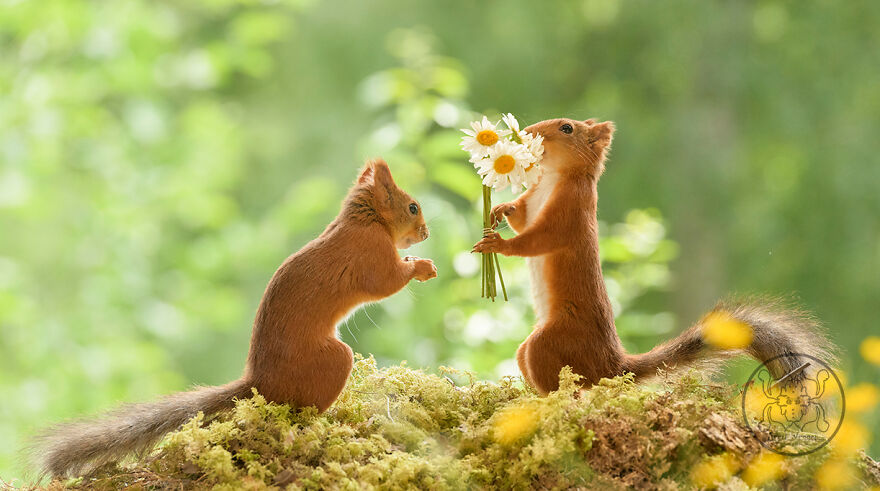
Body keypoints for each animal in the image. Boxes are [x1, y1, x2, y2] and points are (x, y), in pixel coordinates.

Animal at [32, 158, 438, 477]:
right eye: (413, 207)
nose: (426, 232)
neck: (365, 222)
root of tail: (260, 383)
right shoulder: (371, 255)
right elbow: (386, 282)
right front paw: (421, 267)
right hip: (334, 360)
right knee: (303, 411)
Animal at [473, 118, 836, 395]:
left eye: (566, 128)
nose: (527, 131)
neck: (551, 179)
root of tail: (612, 366)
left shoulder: (570, 213)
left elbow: (535, 240)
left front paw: (496, 244)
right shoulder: (533, 200)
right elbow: (521, 217)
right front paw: (498, 209)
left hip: (555, 341)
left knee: (565, 383)